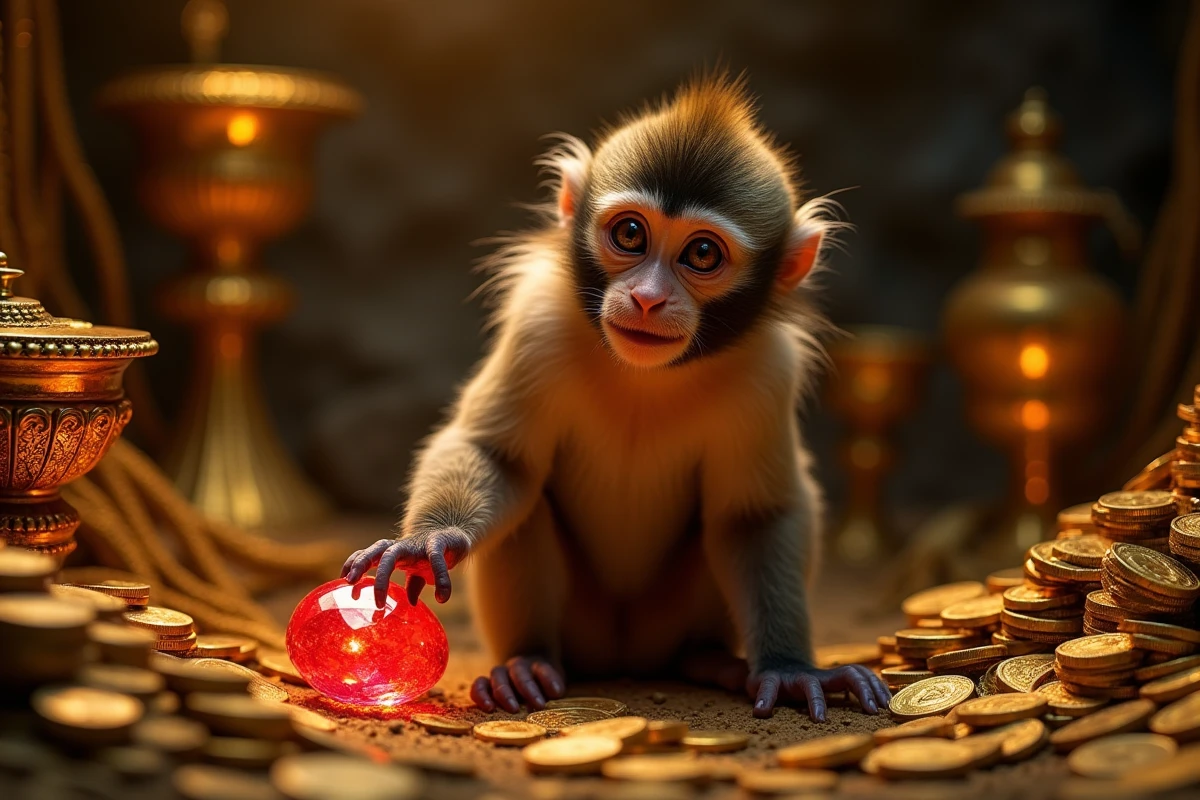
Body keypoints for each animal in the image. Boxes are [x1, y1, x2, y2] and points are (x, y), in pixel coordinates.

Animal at [342, 74, 891, 721]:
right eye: (631, 234)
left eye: (702, 253)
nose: (649, 298)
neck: (643, 377)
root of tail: (624, 658)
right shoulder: (539, 323)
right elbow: (496, 456)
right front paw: (431, 538)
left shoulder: (768, 370)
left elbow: (754, 517)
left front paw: (788, 668)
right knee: (528, 505)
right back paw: (525, 664)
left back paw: (711, 662)